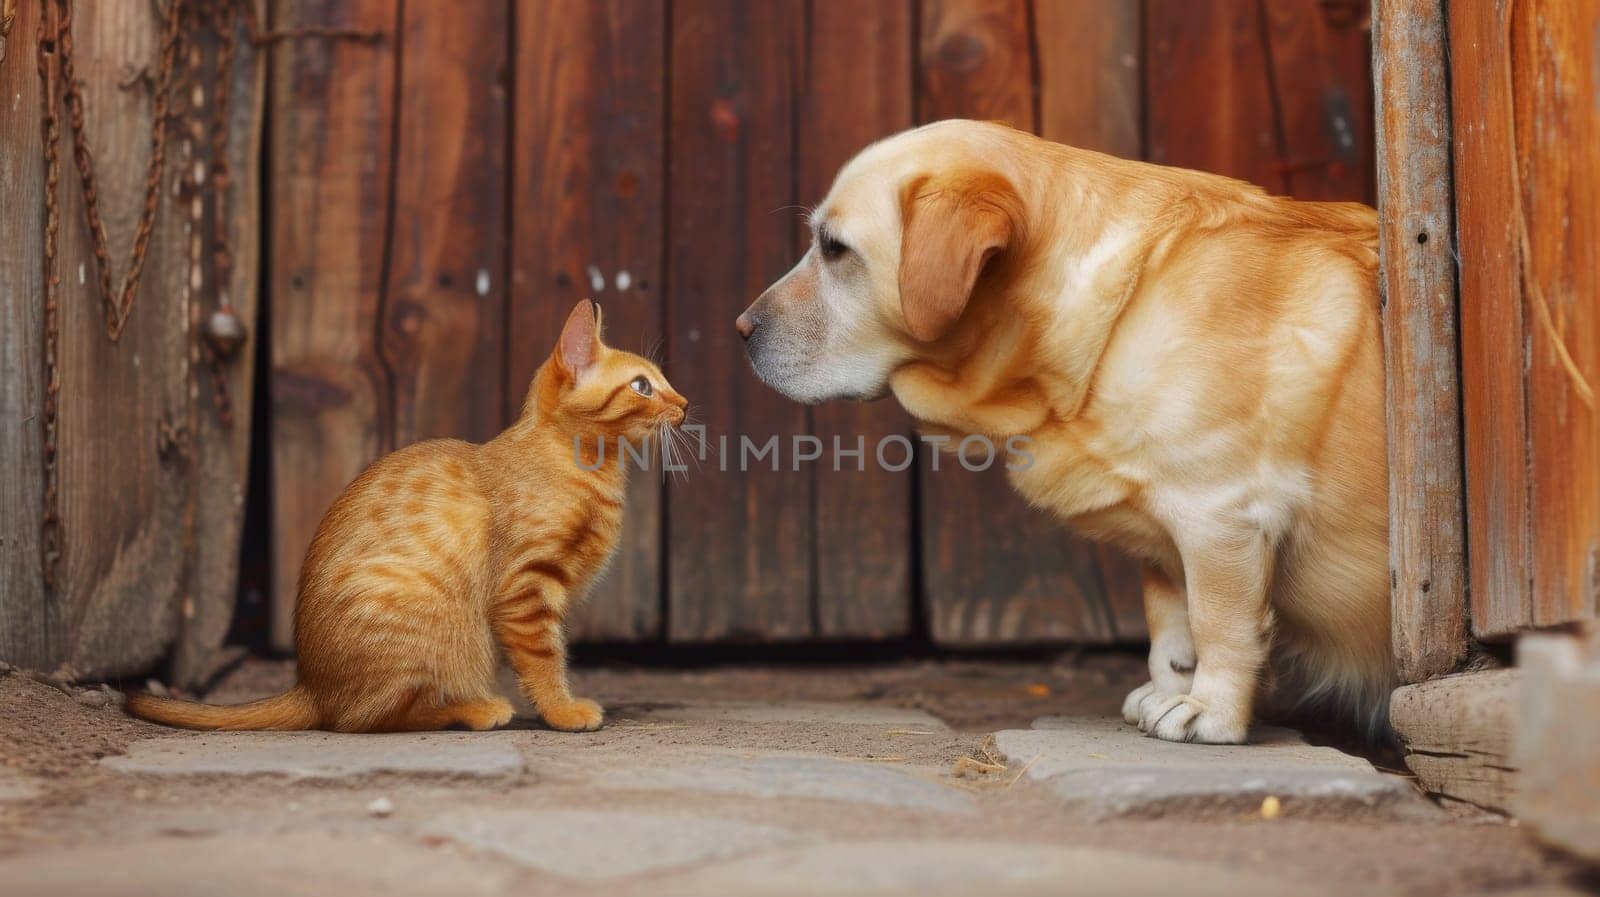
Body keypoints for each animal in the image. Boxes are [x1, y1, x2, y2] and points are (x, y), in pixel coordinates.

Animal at [131, 297, 688, 732]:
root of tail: (310, 684)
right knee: (368, 719)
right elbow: (545, 662)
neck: (581, 467)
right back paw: (475, 708)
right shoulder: (526, 590)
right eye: (643, 386)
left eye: (665, 382)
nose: (684, 404)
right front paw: (563, 711)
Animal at [736, 122, 1388, 745]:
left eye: (834, 248)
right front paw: (1171, 687)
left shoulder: (1221, 512)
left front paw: (1211, 711)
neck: (1116, 311)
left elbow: (1218, 622)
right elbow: (1169, 624)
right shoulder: (1165, 534)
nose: (740, 329)